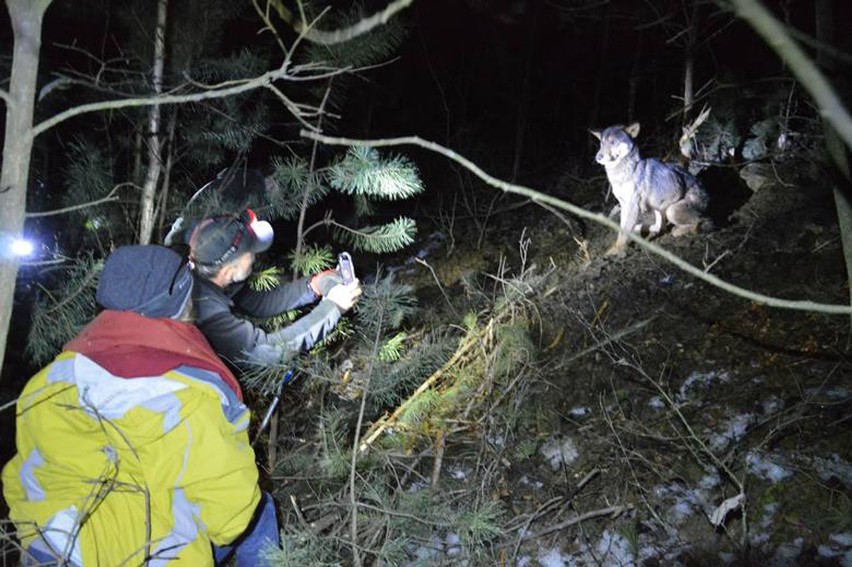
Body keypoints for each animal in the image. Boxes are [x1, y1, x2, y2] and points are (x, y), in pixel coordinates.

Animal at [588, 125, 708, 258]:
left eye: (613, 142)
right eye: (601, 143)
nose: (598, 157)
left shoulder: (632, 205)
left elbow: (623, 232)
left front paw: (616, 251)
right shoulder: (624, 204)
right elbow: (622, 228)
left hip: (672, 211)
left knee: (699, 222)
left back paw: (678, 230)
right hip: (659, 208)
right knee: (660, 227)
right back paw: (641, 228)